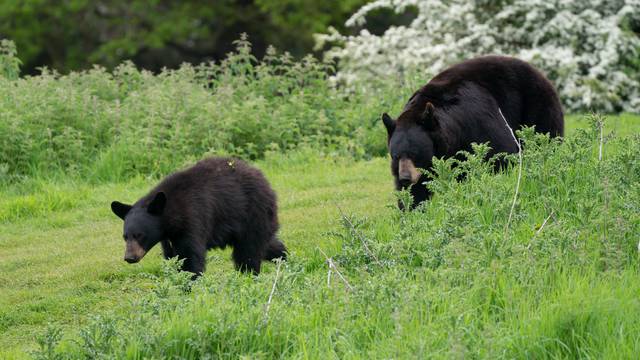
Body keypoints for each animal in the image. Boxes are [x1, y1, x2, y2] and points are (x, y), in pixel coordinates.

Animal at [111, 156, 286, 278]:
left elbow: (190, 256)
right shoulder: (168, 237)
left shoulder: (193, 218)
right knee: (267, 245)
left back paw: (249, 274)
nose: (129, 257)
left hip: (252, 213)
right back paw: (283, 259)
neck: (171, 215)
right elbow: (173, 257)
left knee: (249, 250)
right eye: (125, 236)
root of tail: (264, 180)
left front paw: (188, 283)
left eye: (140, 235)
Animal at [382, 56, 564, 208]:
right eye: (396, 156)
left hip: (536, 107)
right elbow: (415, 192)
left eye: (416, 154)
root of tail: (539, 72)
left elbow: (500, 152)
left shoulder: (478, 120)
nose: (405, 178)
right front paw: (411, 208)